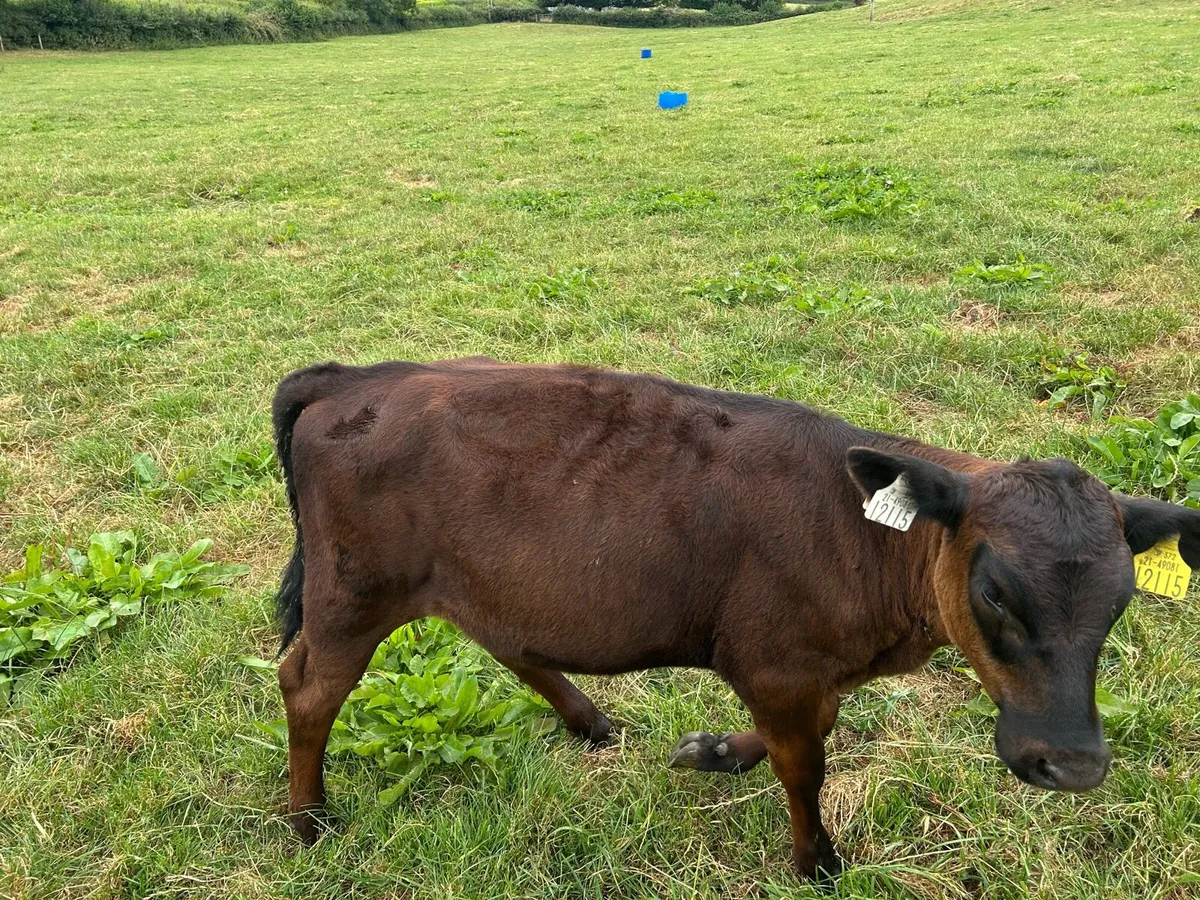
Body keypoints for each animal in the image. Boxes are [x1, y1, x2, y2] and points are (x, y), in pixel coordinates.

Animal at [270, 356, 1199, 880]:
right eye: (997, 591)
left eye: (1121, 599)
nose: (1072, 765)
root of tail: (353, 378)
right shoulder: (776, 662)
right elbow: (805, 766)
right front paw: (817, 862)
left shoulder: (805, 666)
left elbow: (803, 736)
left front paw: (714, 752)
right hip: (354, 592)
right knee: (306, 687)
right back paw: (310, 822)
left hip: (475, 582)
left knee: (509, 641)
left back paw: (588, 720)